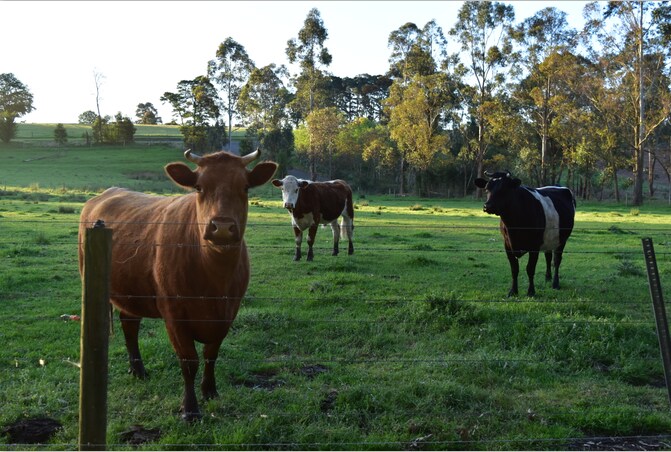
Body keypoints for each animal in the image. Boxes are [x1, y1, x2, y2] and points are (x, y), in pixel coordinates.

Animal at [79, 148, 278, 420]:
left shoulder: (228, 313)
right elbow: (189, 361)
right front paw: (190, 409)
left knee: (129, 325)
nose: (222, 227)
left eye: (245, 187)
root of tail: (103, 195)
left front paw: (210, 391)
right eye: (199, 187)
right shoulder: (174, 315)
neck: (214, 279)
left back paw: (138, 370)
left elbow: (211, 355)